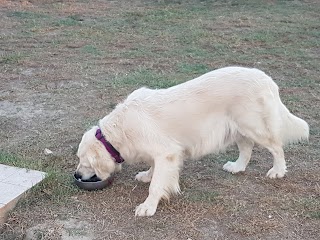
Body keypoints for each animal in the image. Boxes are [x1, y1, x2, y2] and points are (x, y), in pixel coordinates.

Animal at [75, 66, 310, 217]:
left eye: (84, 163)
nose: (76, 175)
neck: (119, 130)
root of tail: (266, 79)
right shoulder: (159, 153)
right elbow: (153, 169)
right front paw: (147, 175)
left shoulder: (167, 153)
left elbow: (157, 185)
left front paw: (148, 206)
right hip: (239, 129)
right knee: (247, 148)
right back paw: (237, 167)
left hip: (254, 126)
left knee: (277, 147)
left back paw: (278, 171)